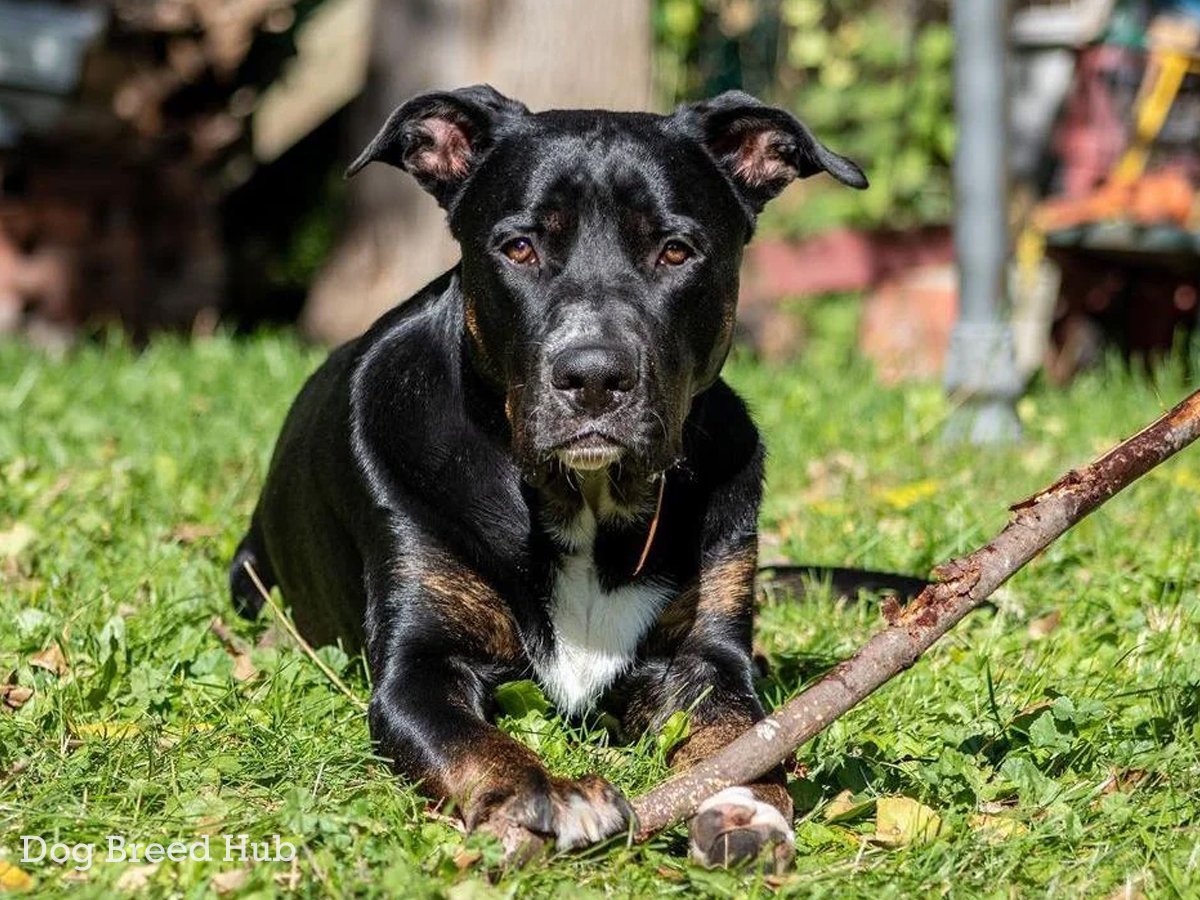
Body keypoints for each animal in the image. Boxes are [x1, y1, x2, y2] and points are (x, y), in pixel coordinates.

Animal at [226, 88, 864, 868]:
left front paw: (744, 805)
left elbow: (741, 733)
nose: (592, 377)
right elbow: (473, 741)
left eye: (675, 250)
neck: (583, 499)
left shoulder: (704, 657)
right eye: (520, 248)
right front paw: (544, 796)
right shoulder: (419, 664)